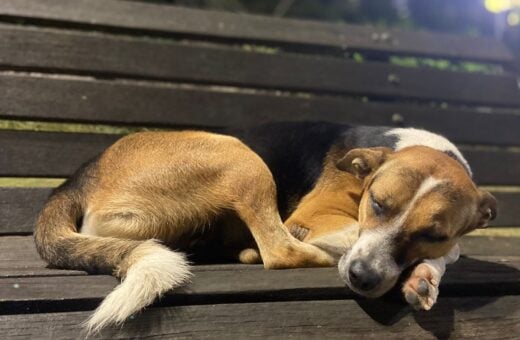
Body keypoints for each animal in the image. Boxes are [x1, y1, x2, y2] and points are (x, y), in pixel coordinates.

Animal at [34, 121, 498, 332]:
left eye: (432, 234)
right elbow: (344, 238)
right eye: (378, 203)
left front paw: (424, 274)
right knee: (280, 250)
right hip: (242, 158)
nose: (362, 278)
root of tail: (81, 175)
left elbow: (448, 252)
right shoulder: (315, 218)